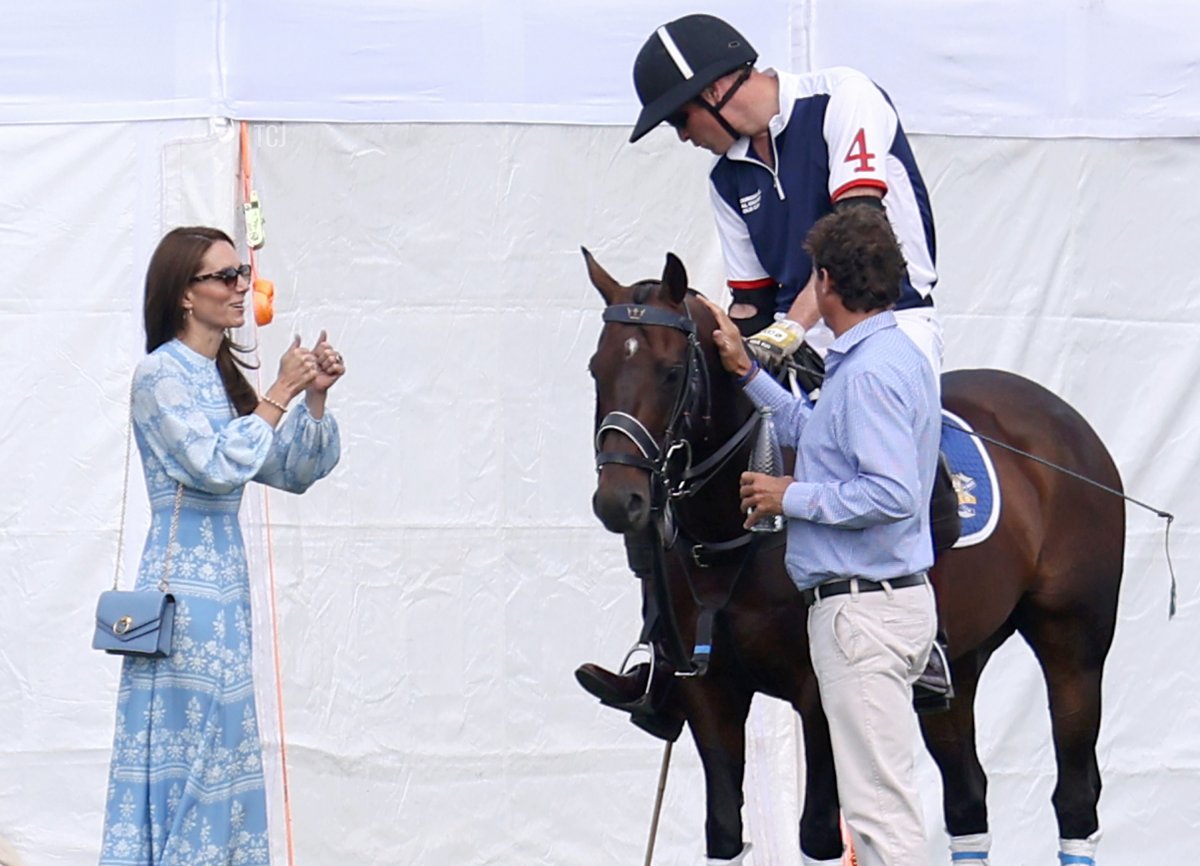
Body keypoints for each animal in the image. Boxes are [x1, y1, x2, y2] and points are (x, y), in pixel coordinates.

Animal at [585, 248, 1128, 858]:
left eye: (672, 371)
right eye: (596, 370)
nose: (619, 501)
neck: (727, 534)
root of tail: (1067, 422)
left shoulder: (819, 690)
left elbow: (819, 834)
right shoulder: (708, 690)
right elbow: (724, 831)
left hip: (1073, 643)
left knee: (1075, 796)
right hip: (963, 662)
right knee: (967, 799)